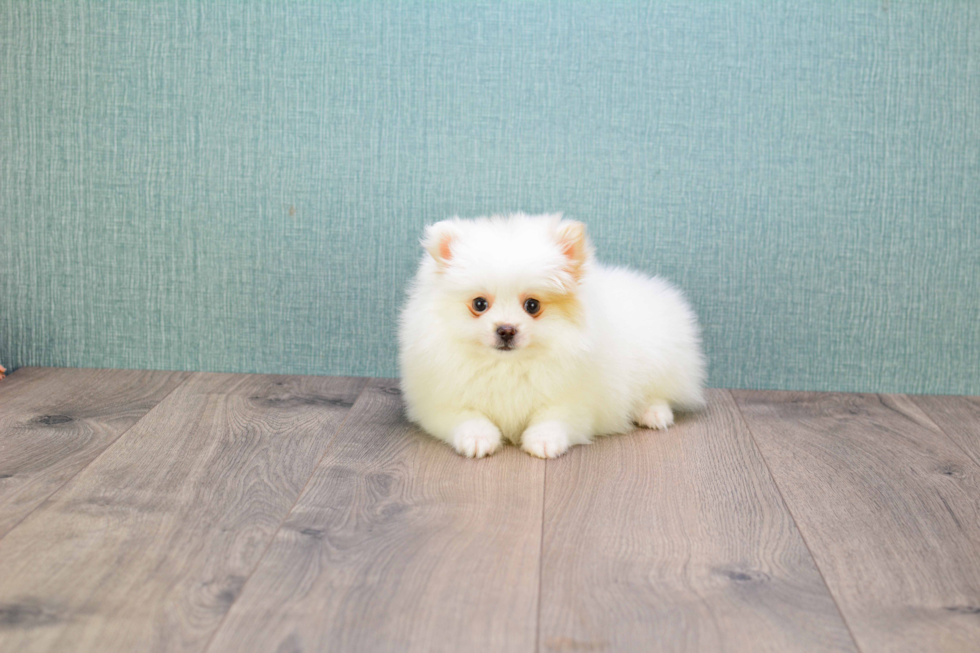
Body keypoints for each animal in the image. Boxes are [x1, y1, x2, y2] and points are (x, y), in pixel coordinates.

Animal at [398, 214, 704, 458]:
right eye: (479, 304)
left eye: (532, 305)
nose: (506, 329)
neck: (508, 366)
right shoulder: (439, 404)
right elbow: (467, 417)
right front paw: (478, 438)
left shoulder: (575, 403)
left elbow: (553, 418)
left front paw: (543, 442)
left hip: (659, 357)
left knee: (659, 393)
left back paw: (653, 414)